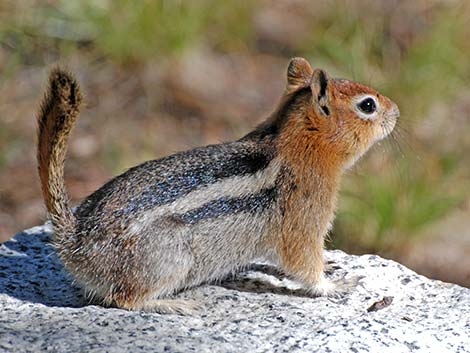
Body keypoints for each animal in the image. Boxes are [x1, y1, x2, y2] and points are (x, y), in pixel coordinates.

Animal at [35, 57, 400, 314]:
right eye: (368, 105)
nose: (396, 110)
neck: (295, 144)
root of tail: (75, 241)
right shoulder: (304, 219)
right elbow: (304, 265)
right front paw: (335, 285)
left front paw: (332, 265)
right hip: (169, 256)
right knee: (124, 299)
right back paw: (174, 304)